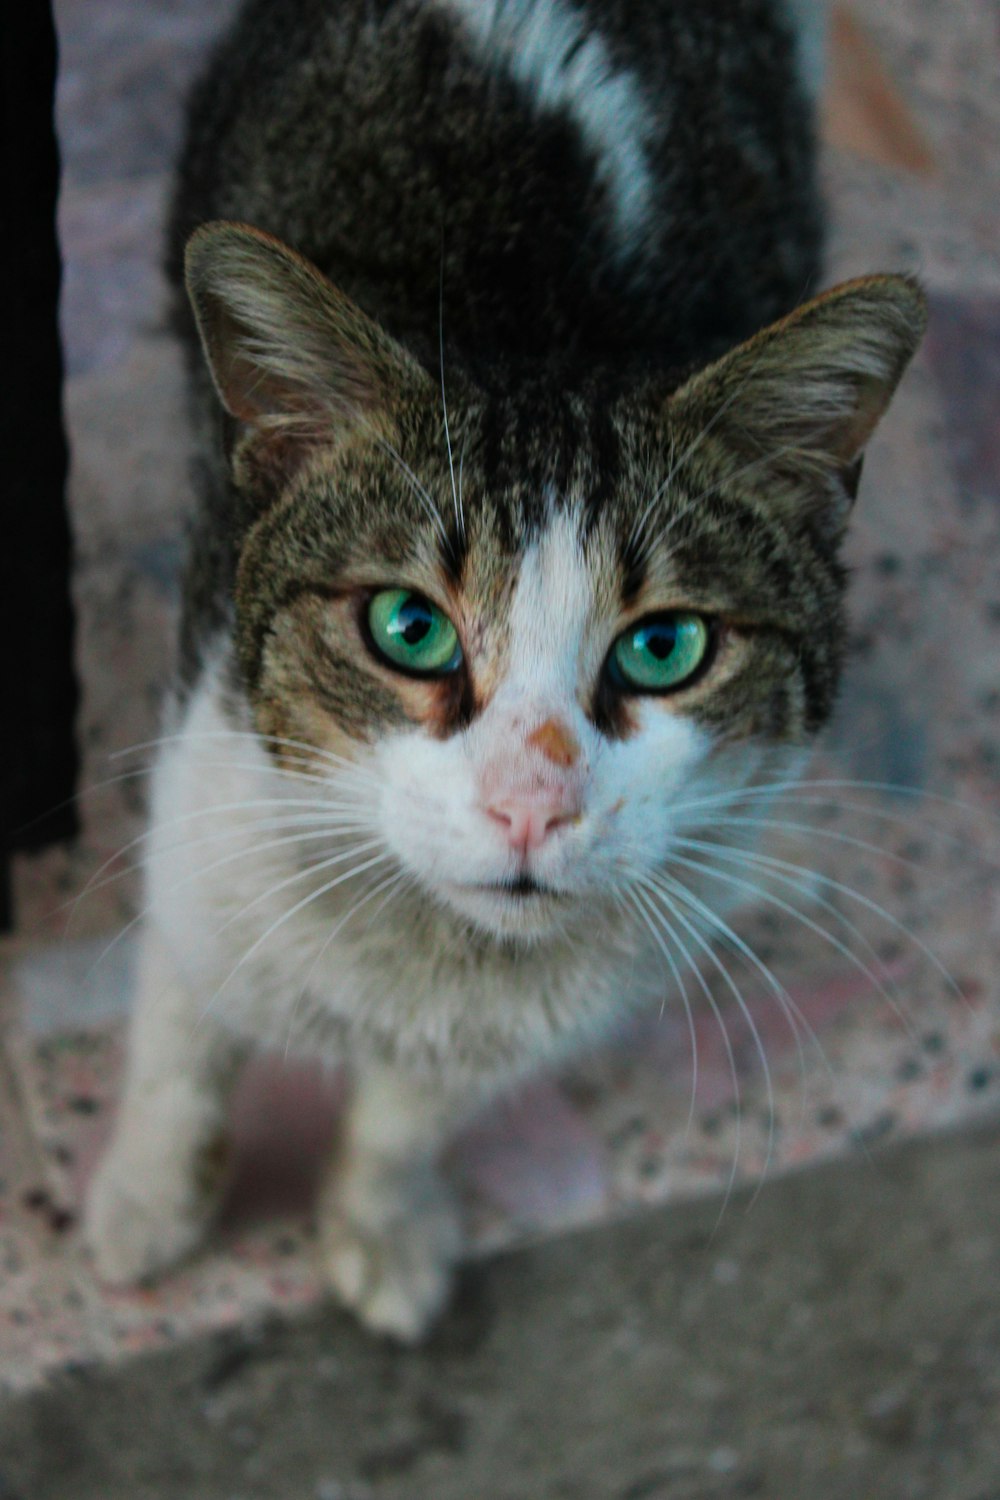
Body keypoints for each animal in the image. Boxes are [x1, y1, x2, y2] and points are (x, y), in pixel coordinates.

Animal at [82, 0, 929, 1338]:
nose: (531, 805)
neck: (433, 952)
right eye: (408, 627)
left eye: (664, 646)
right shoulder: (202, 798)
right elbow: (184, 1035)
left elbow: (406, 1121)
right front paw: (146, 1204)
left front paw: (380, 1222)